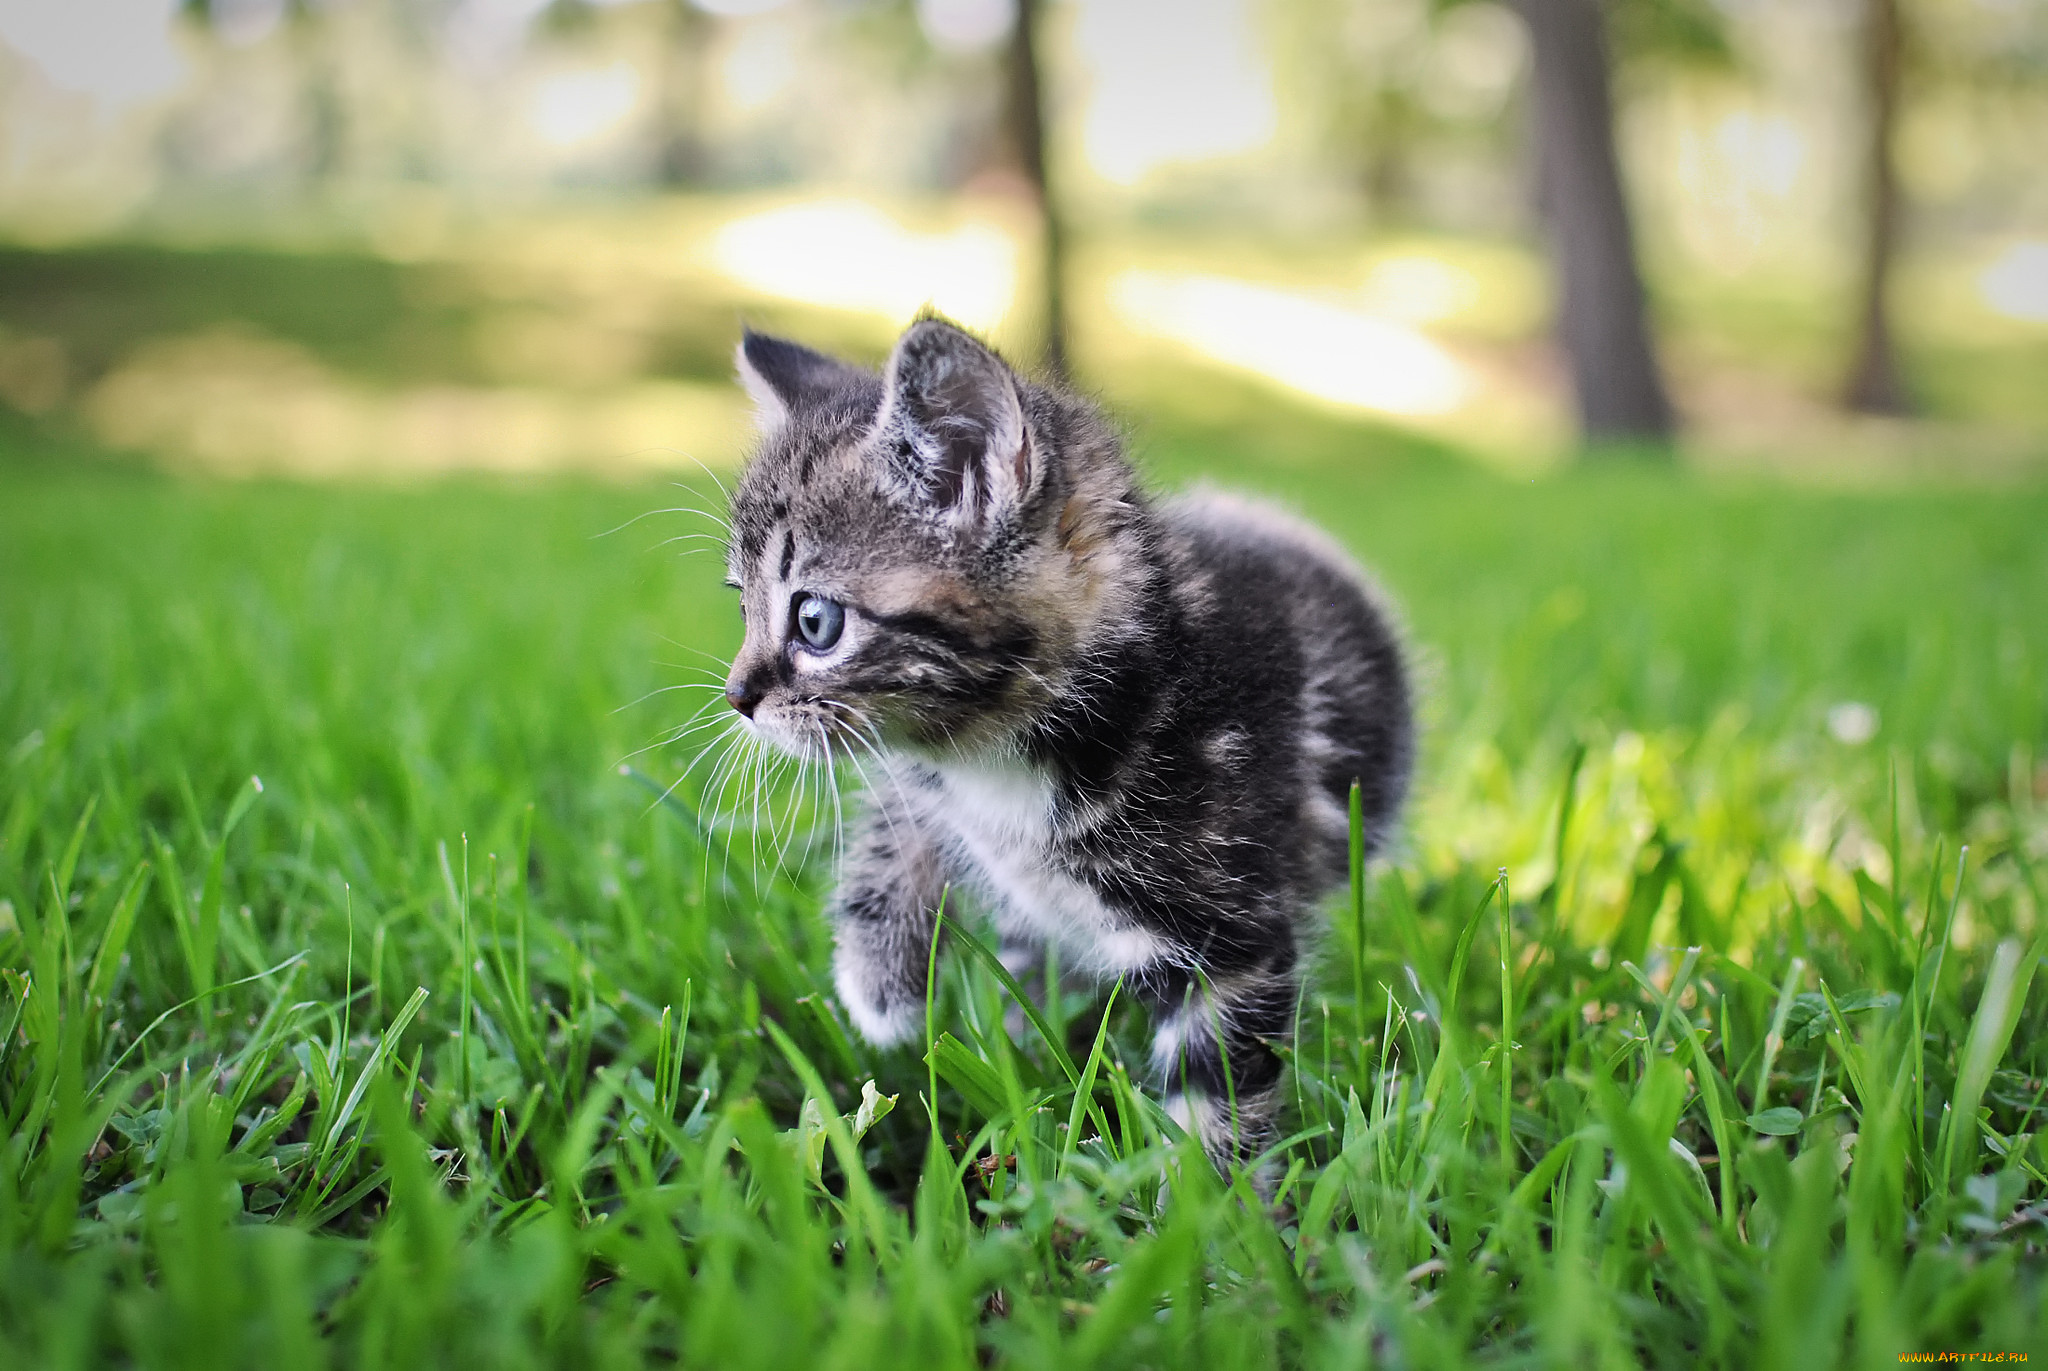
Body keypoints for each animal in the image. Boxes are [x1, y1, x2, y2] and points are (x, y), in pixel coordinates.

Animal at [720, 315, 1409, 1172]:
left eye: (815, 621)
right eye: (740, 604)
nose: (737, 697)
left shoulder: (1231, 934)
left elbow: (1218, 1087)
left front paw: (1214, 1198)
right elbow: (901, 803)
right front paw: (876, 976)